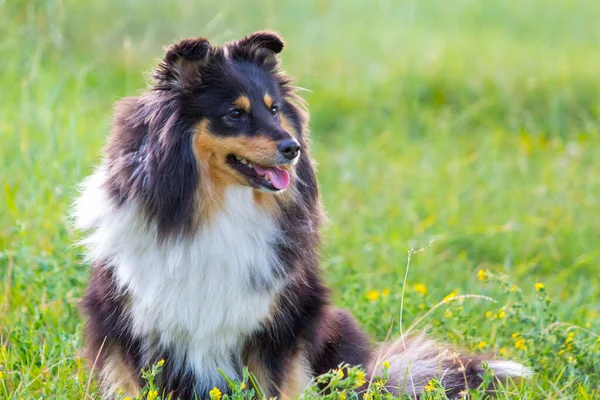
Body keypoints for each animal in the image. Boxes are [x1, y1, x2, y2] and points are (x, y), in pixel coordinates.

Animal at [75, 32, 528, 400]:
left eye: (274, 109)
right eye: (235, 113)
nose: (292, 149)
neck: (218, 209)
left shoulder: (281, 324)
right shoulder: (130, 323)